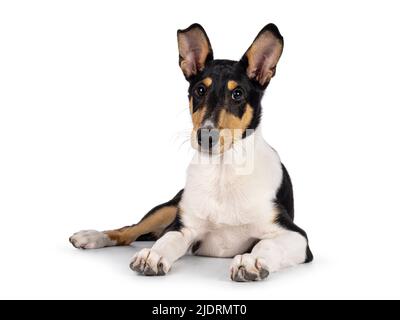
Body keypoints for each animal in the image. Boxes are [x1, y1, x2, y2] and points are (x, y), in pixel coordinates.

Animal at [69, 23, 312, 282]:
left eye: (238, 94)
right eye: (200, 90)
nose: (206, 137)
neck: (223, 171)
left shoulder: (295, 235)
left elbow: (267, 245)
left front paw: (251, 261)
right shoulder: (183, 227)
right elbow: (166, 241)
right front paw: (152, 256)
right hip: (169, 207)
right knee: (129, 230)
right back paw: (92, 236)